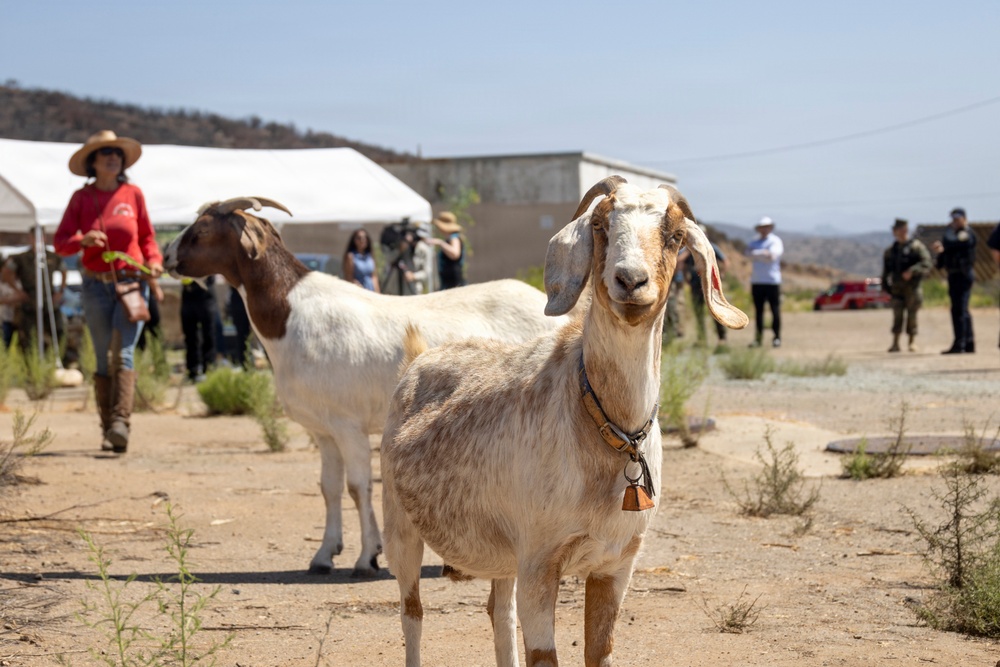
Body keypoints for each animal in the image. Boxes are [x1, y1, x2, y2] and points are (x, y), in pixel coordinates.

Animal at [163, 197, 567, 576]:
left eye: (201, 231)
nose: (166, 256)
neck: (289, 315)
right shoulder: (323, 430)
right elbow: (328, 487)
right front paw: (324, 555)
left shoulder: (348, 425)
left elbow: (358, 487)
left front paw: (367, 557)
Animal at [381, 177, 747, 667]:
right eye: (600, 225)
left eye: (674, 236)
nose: (631, 280)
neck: (606, 426)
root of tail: (420, 357)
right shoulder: (540, 561)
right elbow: (543, 656)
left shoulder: (616, 565)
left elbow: (599, 651)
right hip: (399, 525)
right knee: (412, 613)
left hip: (505, 552)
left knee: (498, 611)